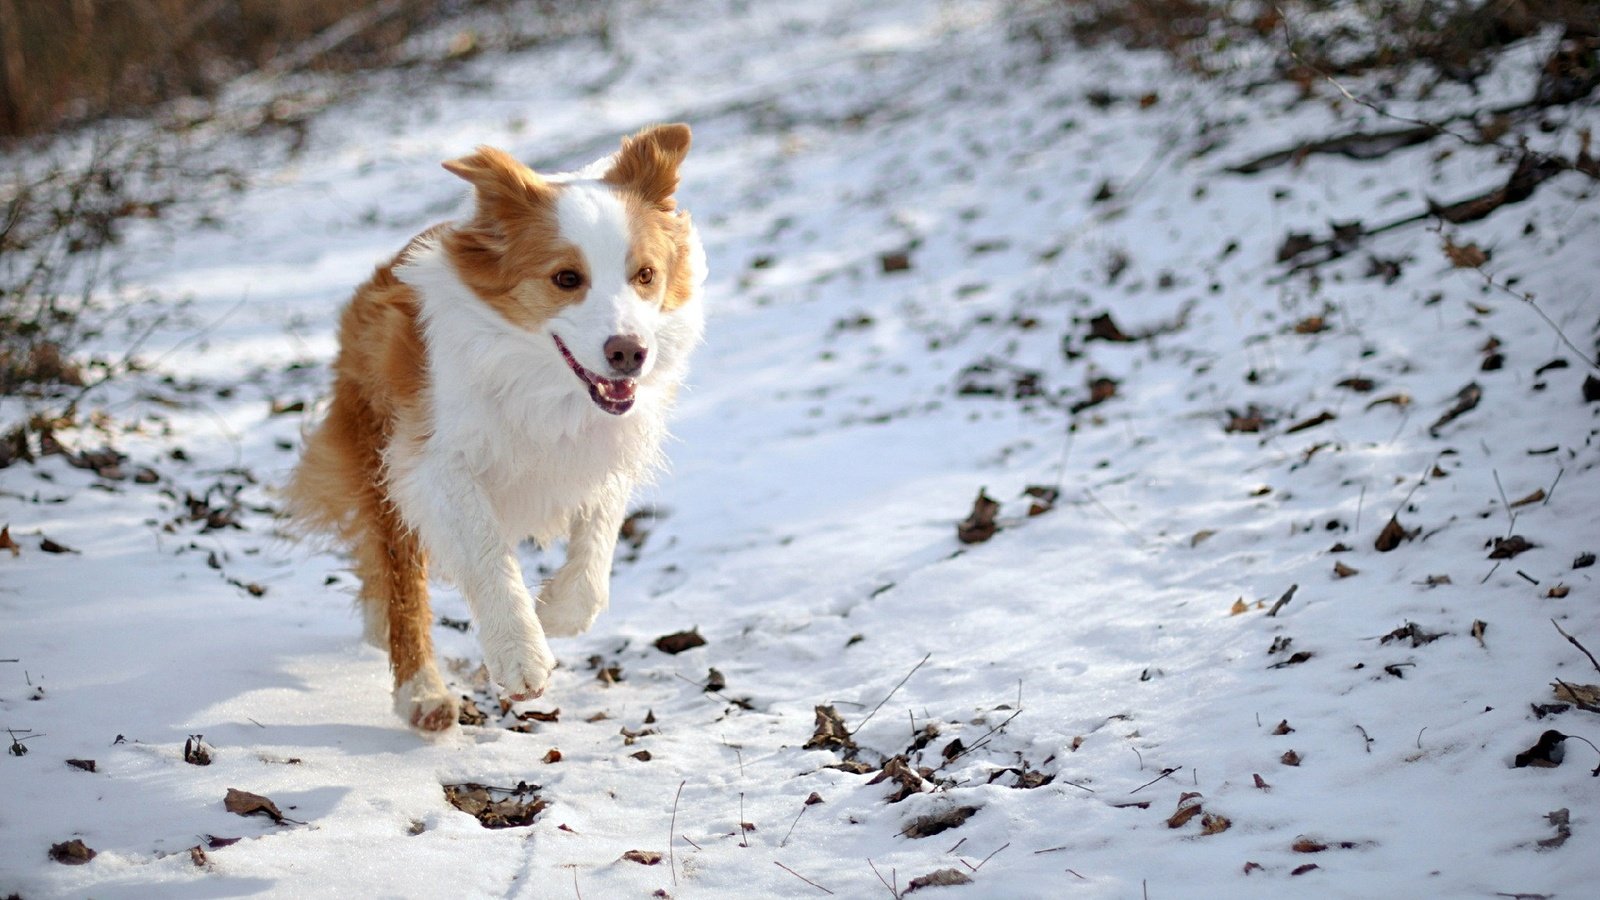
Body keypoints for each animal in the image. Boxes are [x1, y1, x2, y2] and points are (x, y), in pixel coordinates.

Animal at [286, 124, 707, 730]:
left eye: (645, 275)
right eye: (566, 278)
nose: (629, 353)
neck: (541, 380)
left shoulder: (606, 446)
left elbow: (597, 544)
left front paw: (556, 614)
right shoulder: (432, 461)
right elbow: (486, 550)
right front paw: (520, 654)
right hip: (379, 459)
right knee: (403, 584)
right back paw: (423, 694)